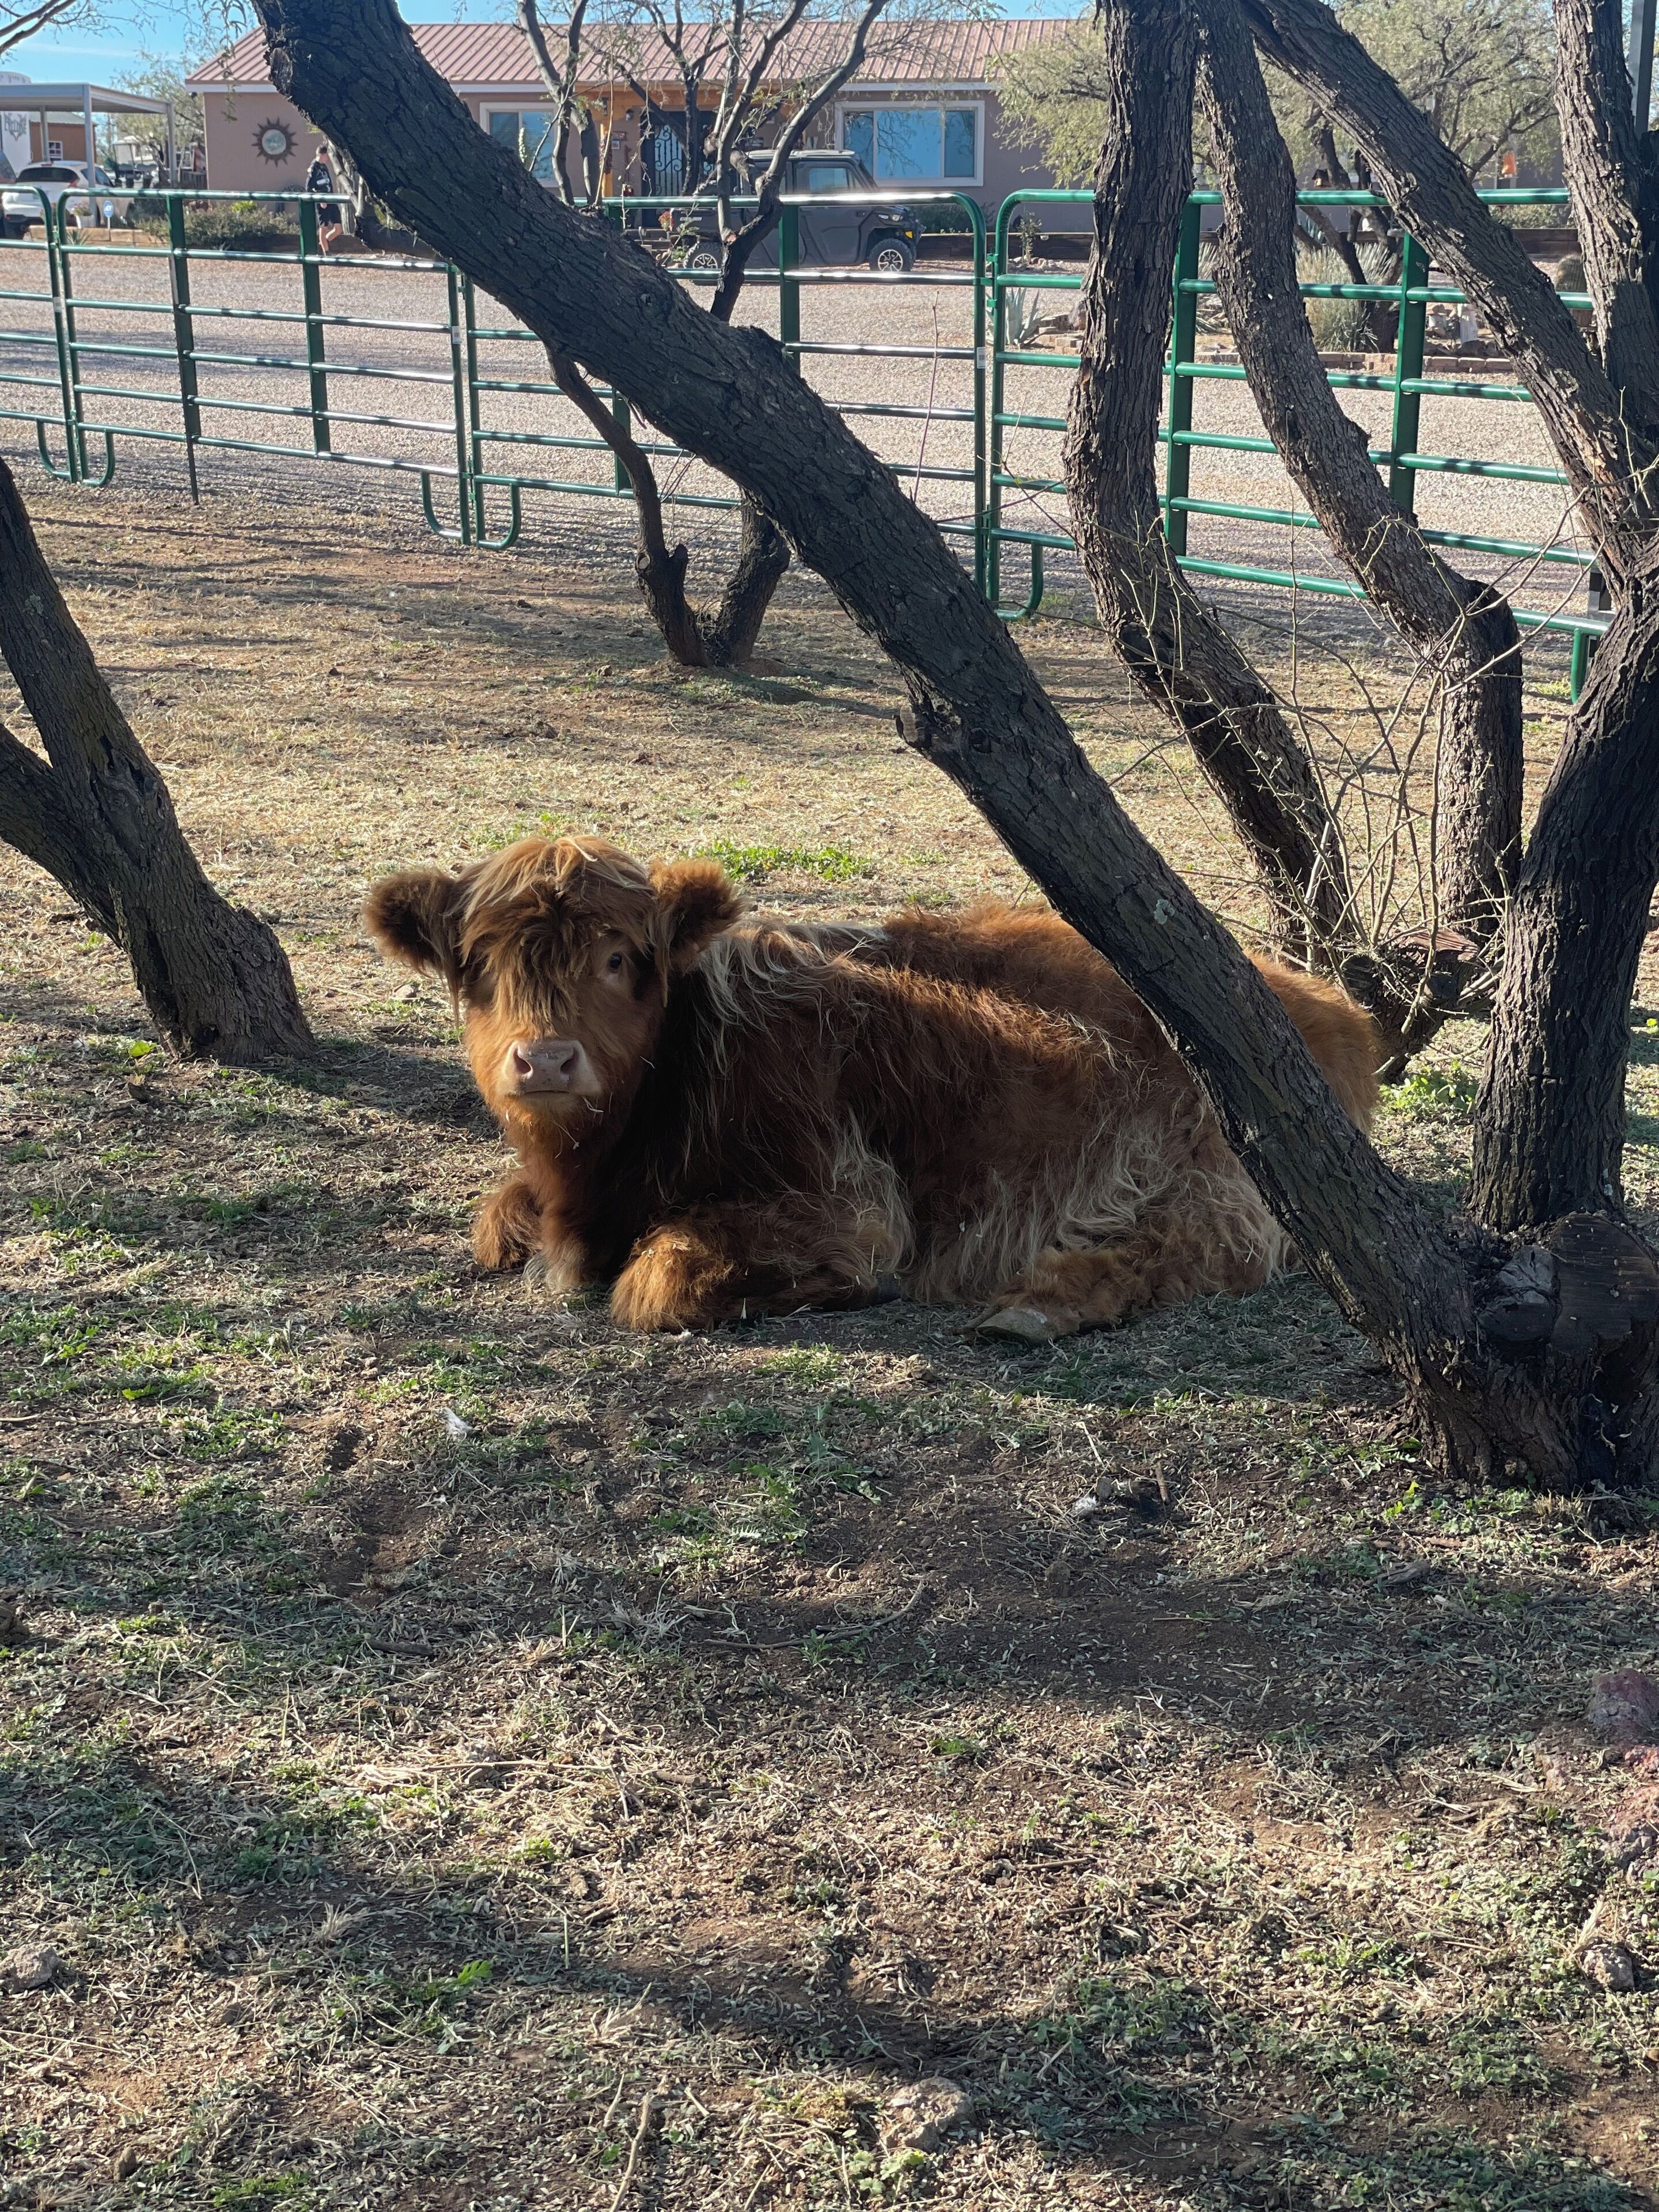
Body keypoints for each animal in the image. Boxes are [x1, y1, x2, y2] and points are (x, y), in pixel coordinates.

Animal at [364, 835, 1378, 1340]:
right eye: (478, 965)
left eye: (618, 958)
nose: (544, 1061)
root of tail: (1311, 997)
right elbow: (496, 1218)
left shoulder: (849, 1201)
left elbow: (659, 1279)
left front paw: (827, 1292)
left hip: (1214, 1164)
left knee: (1206, 1247)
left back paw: (1037, 1306)